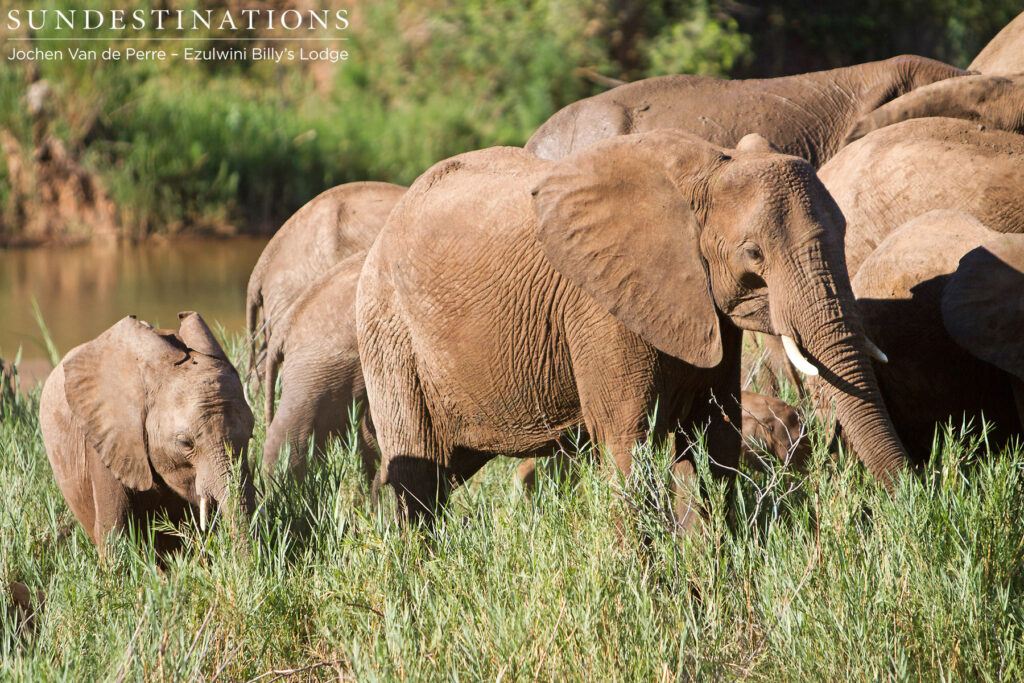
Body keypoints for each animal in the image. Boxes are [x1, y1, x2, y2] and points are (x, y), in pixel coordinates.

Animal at [356, 130, 907, 528]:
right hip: (389, 335)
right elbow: (627, 442)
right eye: (753, 254)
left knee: (442, 473)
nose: (911, 503)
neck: (707, 170)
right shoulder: (601, 309)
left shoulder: (708, 309)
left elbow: (713, 437)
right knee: (419, 478)